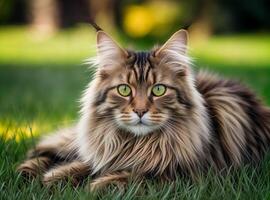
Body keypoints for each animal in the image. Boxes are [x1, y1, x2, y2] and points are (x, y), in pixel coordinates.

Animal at [16, 28, 270, 191]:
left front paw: (96, 185)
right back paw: (25, 172)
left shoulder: (189, 177)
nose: (140, 111)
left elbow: (133, 177)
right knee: (49, 150)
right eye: (124, 90)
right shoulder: (106, 153)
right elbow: (84, 165)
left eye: (158, 90)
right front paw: (56, 177)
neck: (138, 145)